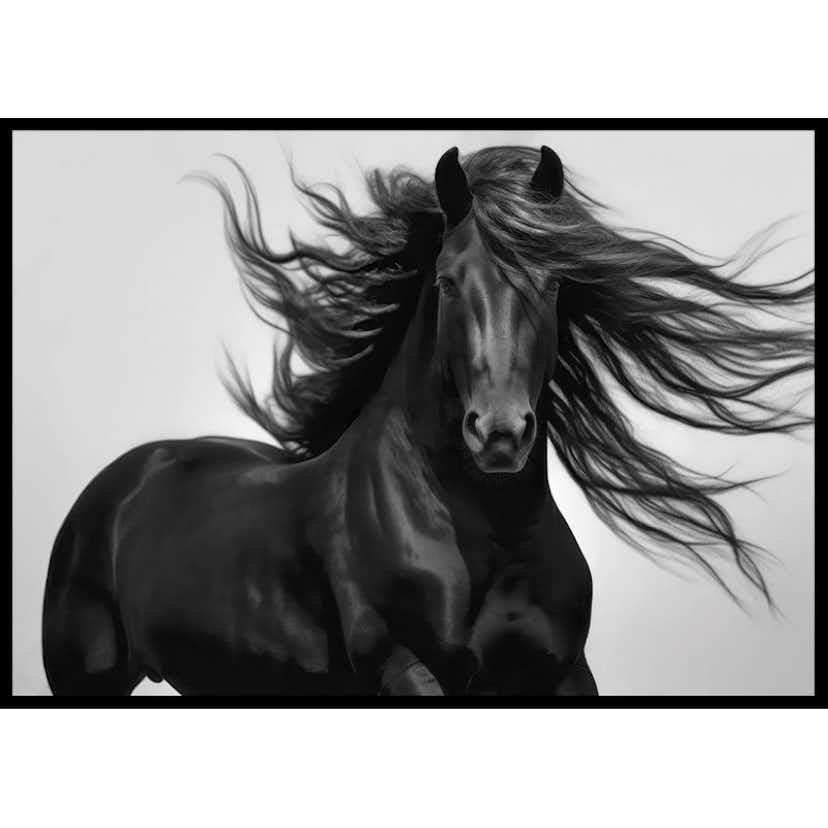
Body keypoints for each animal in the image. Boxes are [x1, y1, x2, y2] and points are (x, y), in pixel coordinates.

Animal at [42, 145, 814, 695]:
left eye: (554, 283)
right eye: (446, 282)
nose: (498, 434)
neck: (488, 535)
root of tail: (122, 479)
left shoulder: (562, 672)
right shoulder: (405, 666)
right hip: (87, 682)